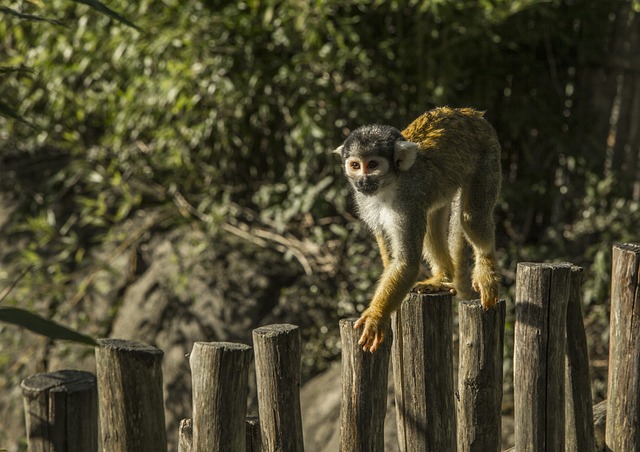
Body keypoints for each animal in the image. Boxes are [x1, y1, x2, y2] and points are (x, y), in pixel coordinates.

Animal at [332, 107, 502, 354]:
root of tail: (470, 113)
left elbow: (407, 262)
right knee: (432, 217)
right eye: (355, 165)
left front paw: (375, 316)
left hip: (487, 152)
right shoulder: (364, 200)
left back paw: (486, 269)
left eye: (372, 165)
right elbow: (389, 248)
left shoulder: (409, 199)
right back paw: (443, 277)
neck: (389, 184)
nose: (362, 180)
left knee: (473, 218)